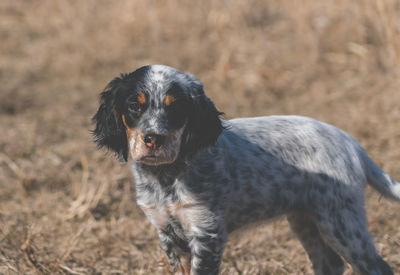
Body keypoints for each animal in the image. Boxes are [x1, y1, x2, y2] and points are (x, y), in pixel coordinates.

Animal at [92, 65, 398, 275]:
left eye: (176, 108)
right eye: (134, 105)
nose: (153, 138)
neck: (167, 177)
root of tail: (350, 142)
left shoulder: (207, 232)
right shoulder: (168, 234)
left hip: (342, 223)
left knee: (377, 267)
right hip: (306, 219)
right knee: (330, 264)